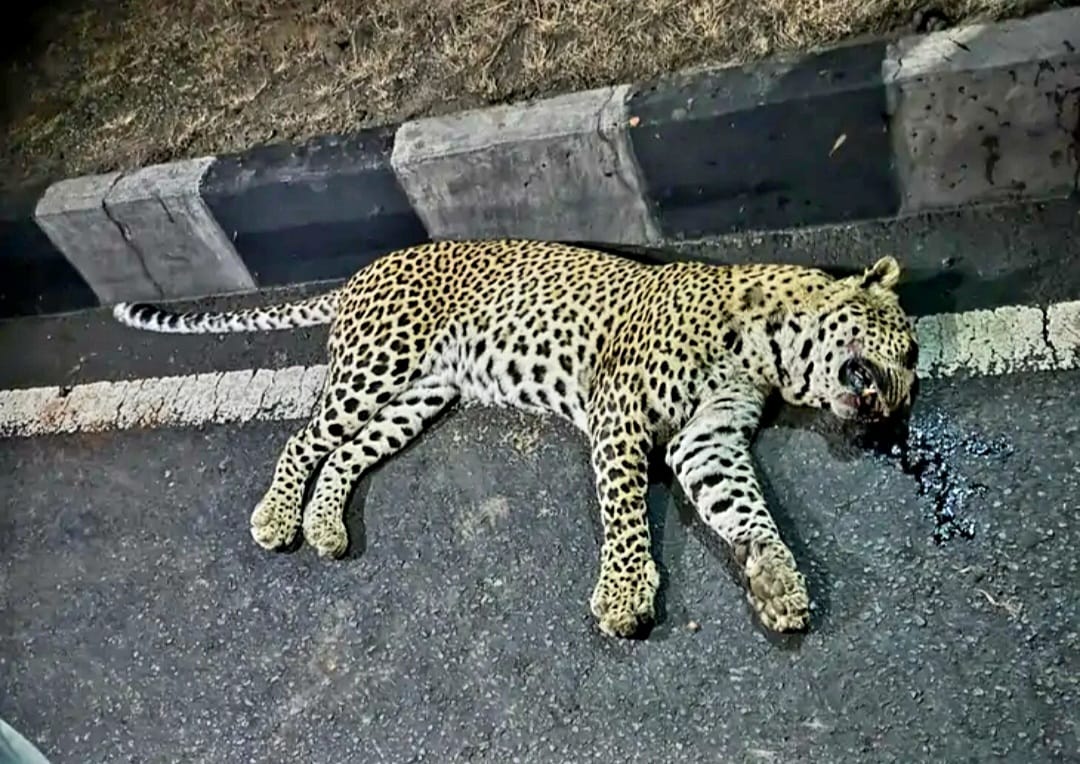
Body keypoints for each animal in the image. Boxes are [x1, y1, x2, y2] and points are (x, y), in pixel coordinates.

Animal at [112, 239, 919, 639]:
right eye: (909, 350)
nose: (895, 412)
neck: (767, 349)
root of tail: (360, 271)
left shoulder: (707, 440)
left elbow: (747, 512)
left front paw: (776, 577)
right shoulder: (621, 416)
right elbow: (625, 516)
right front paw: (624, 594)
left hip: (419, 396)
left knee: (344, 452)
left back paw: (326, 526)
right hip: (376, 364)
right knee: (304, 438)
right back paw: (277, 517)